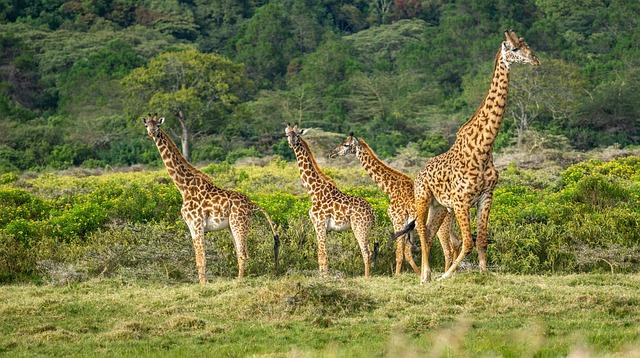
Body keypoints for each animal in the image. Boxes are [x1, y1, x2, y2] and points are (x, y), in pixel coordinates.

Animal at [144, 114, 278, 286]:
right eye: (147, 125)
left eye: (158, 125)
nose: (152, 133)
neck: (184, 187)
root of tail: (252, 204)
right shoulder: (192, 227)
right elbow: (199, 258)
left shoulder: (196, 224)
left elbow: (200, 259)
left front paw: (203, 285)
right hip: (232, 226)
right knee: (240, 253)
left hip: (239, 224)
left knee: (243, 254)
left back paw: (239, 282)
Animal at [284, 124, 376, 278]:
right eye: (287, 135)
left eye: (297, 135)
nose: (292, 143)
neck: (313, 191)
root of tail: (373, 212)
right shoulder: (319, 226)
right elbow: (321, 252)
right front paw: (323, 274)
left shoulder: (320, 223)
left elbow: (322, 253)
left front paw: (325, 277)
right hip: (366, 228)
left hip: (359, 227)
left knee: (366, 252)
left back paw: (366, 277)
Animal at [330, 133, 460, 276]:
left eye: (346, 145)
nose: (332, 153)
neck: (390, 189)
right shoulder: (407, 226)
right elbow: (407, 253)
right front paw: (417, 273)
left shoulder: (398, 221)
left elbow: (399, 253)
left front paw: (398, 275)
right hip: (449, 225)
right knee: (456, 243)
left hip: (442, 226)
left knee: (448, 250)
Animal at [398, 30, 544, 282]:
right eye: (514, 49)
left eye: (527, 45)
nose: (535, 60)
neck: (483, 149)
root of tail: (419, 173)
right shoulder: (461, 201)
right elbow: (467, 242)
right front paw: (446, 275)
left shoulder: (486, 196)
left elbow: (482, 239)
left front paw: (484, 273)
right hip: (423, 198)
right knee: (422, 231)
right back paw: (426, 276)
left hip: (440, 207)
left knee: (429, 232)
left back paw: (427, 274)